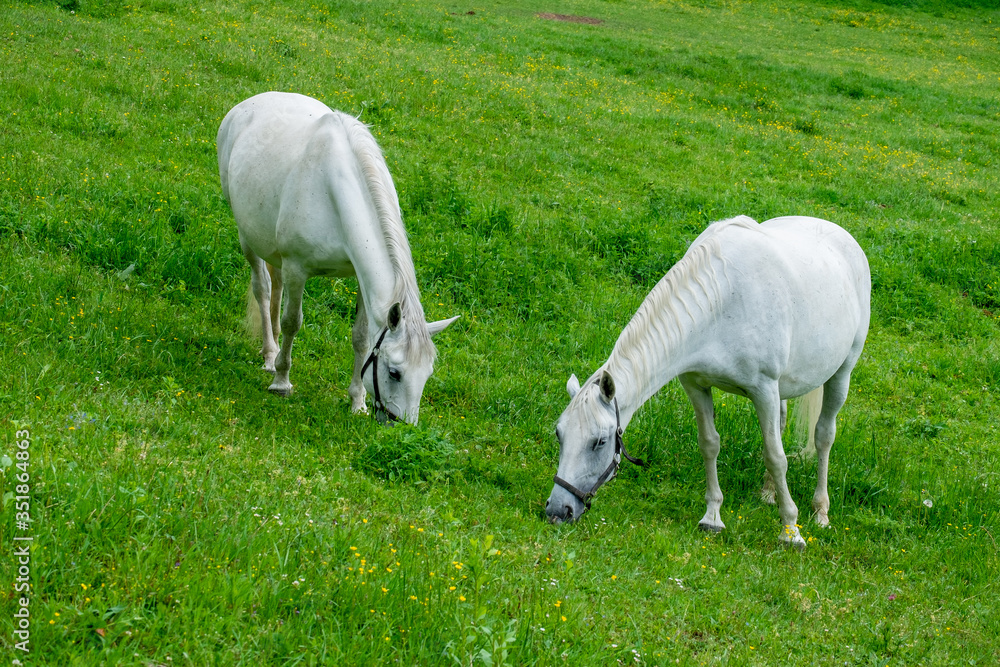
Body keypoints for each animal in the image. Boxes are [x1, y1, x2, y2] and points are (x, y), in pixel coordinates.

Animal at [217, 92, 458, 424]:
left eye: (426, 374)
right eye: (395, 373)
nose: (402, 425)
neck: (332, 190)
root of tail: (245, 106)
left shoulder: (358, 276)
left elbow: (360, 337)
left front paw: (357, 401)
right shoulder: (297, 269)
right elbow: (293, 322)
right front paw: (281, 381)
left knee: (275, 285)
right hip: (247, 237)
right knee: (263, 289)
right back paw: (269, 354)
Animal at [545, 215, 870, 550]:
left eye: (599, 441)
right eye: (559, 435)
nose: (558, 511)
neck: (721, 301)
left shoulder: (763, 390)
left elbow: (776, 456)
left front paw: (790, 529)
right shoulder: (696, 385)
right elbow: (710, 444)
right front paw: (712, 517)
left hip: (841, 374)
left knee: (823, 436)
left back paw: (820, 511)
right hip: (782, 388)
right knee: (780, 425)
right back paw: (769, 493)